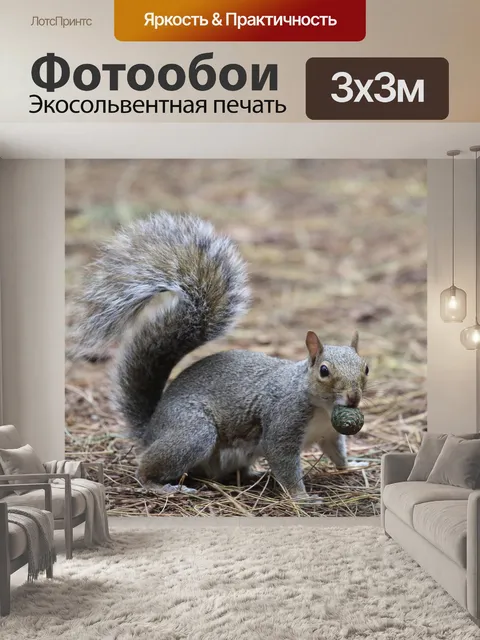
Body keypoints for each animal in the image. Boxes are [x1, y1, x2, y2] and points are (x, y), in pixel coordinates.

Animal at [72, 212, 369, 502]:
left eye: (366, 368)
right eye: (324, 371)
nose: (353, 398)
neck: (321, 407)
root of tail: (151, 430)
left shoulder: (330, 434)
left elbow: (337, 454)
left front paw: (353, 465)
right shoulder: (283, 421)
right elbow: (283, 460)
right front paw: (301, 497)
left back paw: (253, 476)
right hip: (193, 432)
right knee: (147, 466)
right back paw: (161, 486)